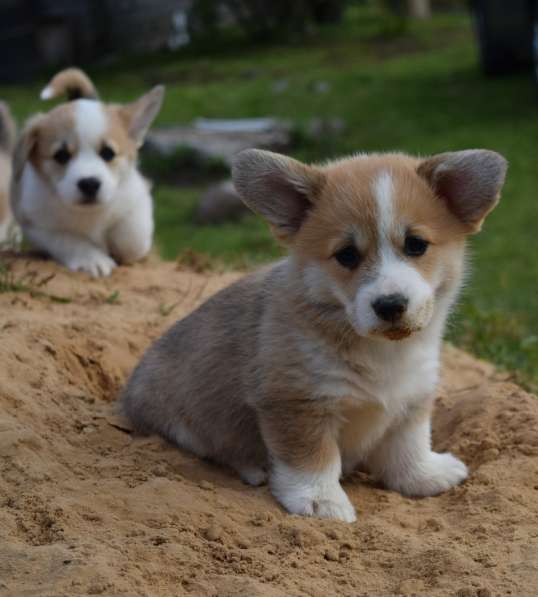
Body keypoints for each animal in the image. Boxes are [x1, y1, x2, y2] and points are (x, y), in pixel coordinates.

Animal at [11, 68, 162, 278]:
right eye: (61, 155)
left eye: (108, 153)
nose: (89, 184)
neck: (89, 214)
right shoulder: (36, 224)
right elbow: (68, 239)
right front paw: (93, 260)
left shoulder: (138, 196)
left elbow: (132, 239)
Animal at [119, 147, 504, 520]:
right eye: (346, 255)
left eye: (415, 245)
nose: (390, 304)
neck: (380, 352)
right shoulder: (297, 403)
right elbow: (313, 458)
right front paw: (320, 501)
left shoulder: (412, 398)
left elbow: (408, 446)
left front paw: (424, 476)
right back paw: (255, 468)